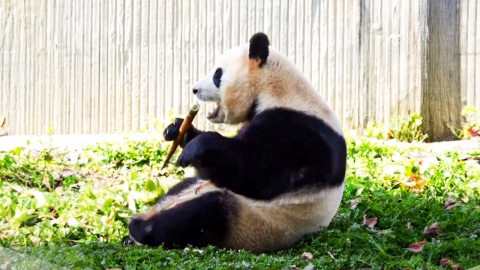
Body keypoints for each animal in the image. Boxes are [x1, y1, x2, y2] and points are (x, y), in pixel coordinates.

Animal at [123, 32, 348, 254]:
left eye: (217, 74)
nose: (195, 89)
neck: (278, 90)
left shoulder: (295, 132)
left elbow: (256, 175)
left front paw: (194, 149)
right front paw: (177, 129)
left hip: (252, 223)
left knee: (206, 212)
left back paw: (140, 228)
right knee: (183, 187)